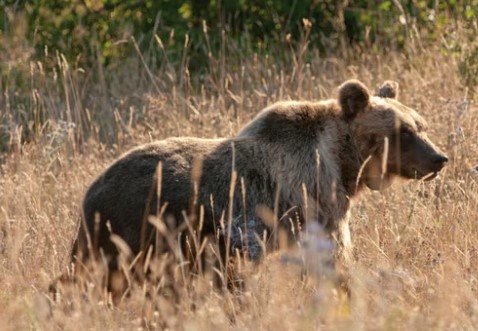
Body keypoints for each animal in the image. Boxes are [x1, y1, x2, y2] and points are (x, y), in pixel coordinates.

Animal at [63, 79, 448, 296]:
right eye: (403, 131)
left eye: (421, 125)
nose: (439, 158)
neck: (343, 161)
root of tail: (90, 192)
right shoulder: (315, 196)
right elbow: (333, 255)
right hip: (144, 226)